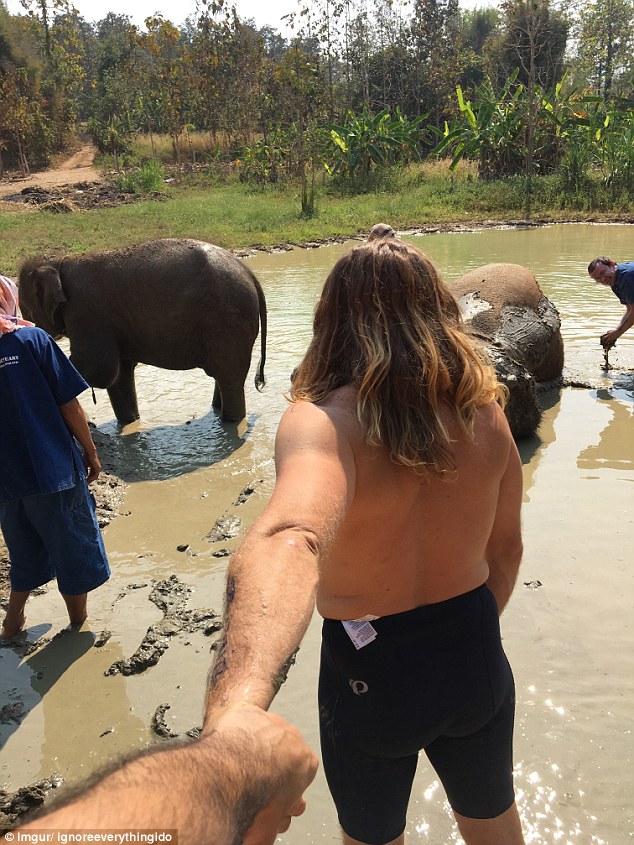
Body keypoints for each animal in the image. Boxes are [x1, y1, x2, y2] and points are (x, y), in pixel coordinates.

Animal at [17, 236, 264, 422]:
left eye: (26, 311)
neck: (59, 261)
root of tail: (249, 273)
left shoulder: (86, 310)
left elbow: (98, 367)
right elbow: (120, 372)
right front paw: (130, 422)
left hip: (228, 320)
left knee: (229, 377)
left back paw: (231, 422)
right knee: (223, 377)